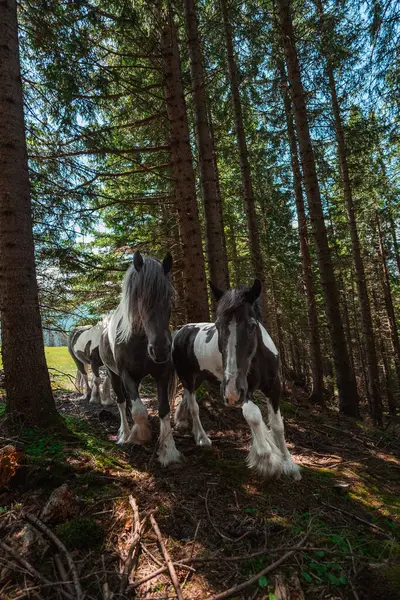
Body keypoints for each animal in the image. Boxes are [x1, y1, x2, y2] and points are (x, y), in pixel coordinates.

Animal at [99, 251, 180, 466]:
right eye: (141, 299)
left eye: (169, 298)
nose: (160, 350)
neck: (139, 340)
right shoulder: (125, 374)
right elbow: (138, 410)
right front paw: (141, 435)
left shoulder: (162, 374)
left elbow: (163, 409)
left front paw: (168, 450)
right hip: (113, 374)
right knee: (121, 402)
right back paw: (124, 434)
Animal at [172, 278, 300, 480]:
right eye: (218, 326)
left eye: (252, 325)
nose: (231, 392)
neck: (259, 359)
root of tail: (180, 331)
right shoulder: (244, 390)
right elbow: (253, 415)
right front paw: (267, 460)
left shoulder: (274, 386)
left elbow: (278, 425)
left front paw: (289, 464)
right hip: (187, 377)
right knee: (194, 406)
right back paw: (202, 438)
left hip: (198, 378)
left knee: (186, 397)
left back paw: (182, 421)